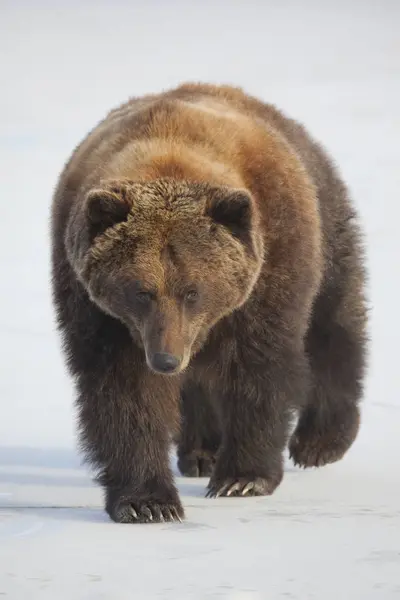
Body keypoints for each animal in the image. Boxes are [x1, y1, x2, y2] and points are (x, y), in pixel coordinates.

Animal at [50, 82, 368, 524]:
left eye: (193, 290)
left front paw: (243, 477)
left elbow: (258, 367)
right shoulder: (100, 311)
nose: (166, 360)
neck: (169, 152)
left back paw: (320, 440)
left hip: (323, 221)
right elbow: (126, 391)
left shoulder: (269, 267)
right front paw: (147, 501)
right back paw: (201, 451)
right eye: (141, 290)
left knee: (331, 321)